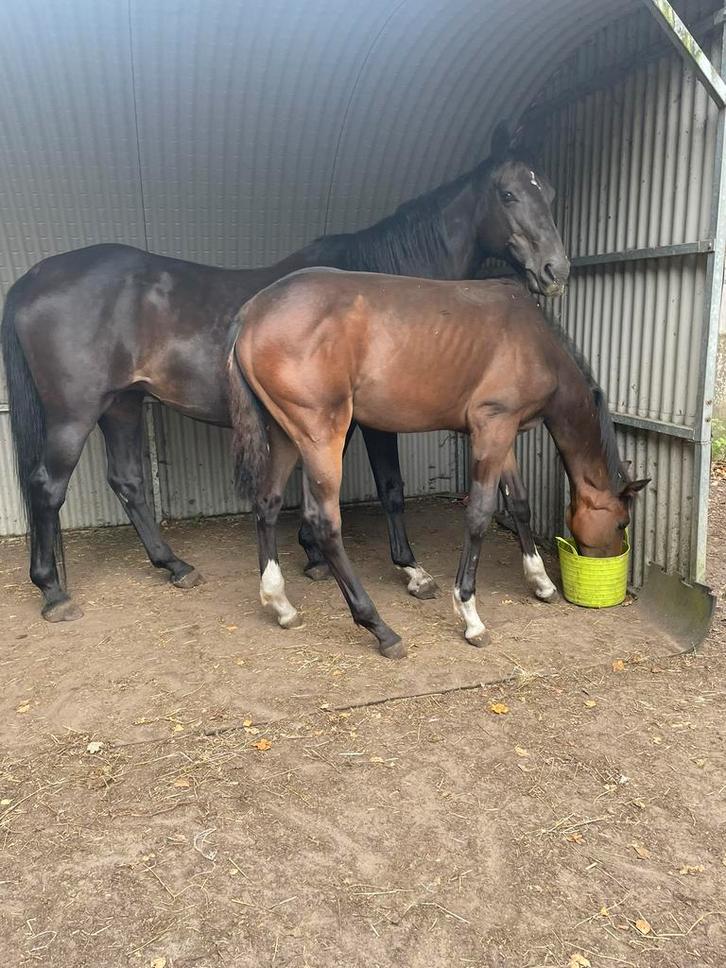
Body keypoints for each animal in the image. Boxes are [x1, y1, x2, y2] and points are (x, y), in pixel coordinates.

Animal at [1, 124, 569, 623]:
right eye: (508, 194)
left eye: (548, 191)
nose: (556, 270)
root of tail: (32, 278)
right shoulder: (374, 422)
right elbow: (389, 486)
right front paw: (410, 570)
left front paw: (312, 555)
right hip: (75, 413)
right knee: (47, 487)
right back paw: (53, 591)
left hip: (121, 404)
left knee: (129, 482)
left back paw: (175, 566)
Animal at [228, 269, 648, 659]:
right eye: (621, 522)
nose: (605, 562)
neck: (537, 344)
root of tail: (252, 312)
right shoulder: (493, 427)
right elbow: (479, 515)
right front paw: (471, 616)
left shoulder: (504, 432)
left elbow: (520, 504)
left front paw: (540, 581)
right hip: (320, 435)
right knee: (325, 524)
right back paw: (381, 629)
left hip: (285, 435)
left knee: (267, 503)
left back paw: (281, 605)